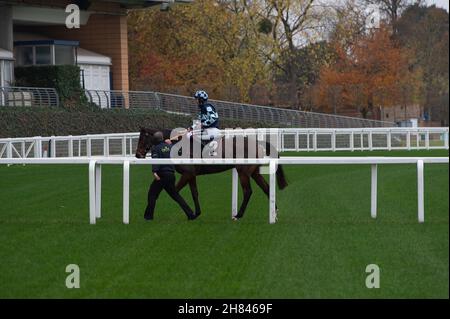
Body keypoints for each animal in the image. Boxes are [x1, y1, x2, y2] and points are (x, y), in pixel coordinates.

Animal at [134, 127, 288, 220]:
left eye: (142, 139)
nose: (137, 155)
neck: (179, 147)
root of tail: (257, 142)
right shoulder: (191, 175)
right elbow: (194, 193)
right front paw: (196, 213)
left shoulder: (187, 174)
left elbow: (174, 191)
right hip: (254, 171)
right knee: (266, 188)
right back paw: (275, 213)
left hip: (243, 171)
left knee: (248, 191)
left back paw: (238, 215)